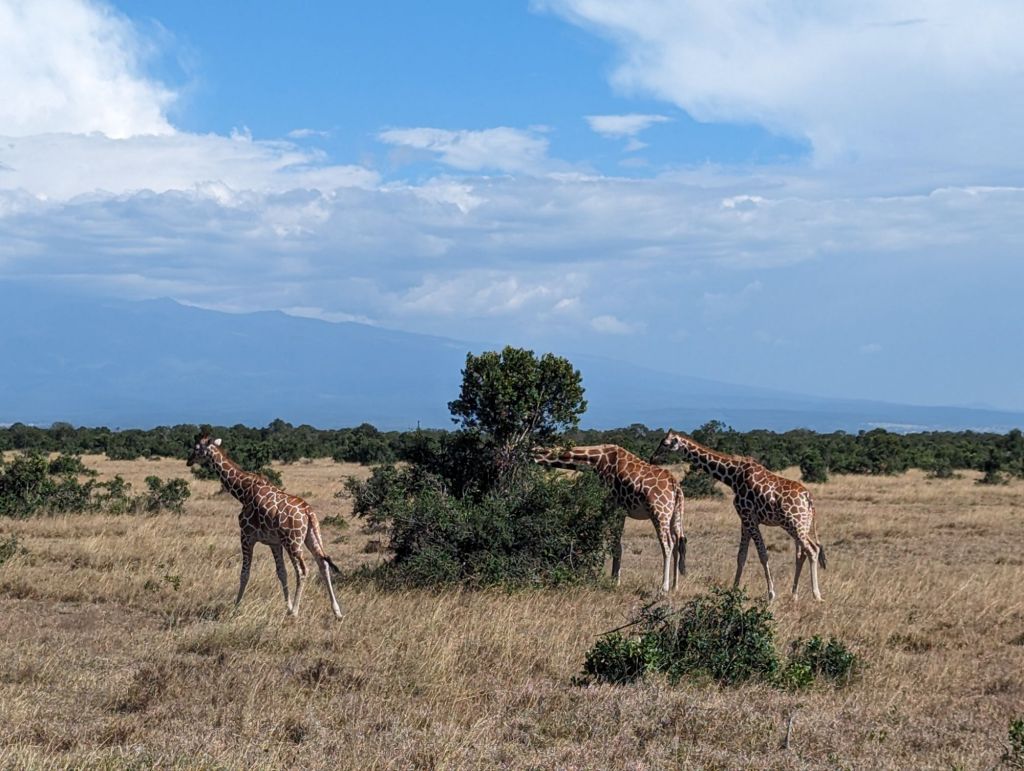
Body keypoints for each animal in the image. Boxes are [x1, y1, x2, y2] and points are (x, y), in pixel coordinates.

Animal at [186, 434, 343, 618]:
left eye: (196, 448)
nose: (188, 461)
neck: (243, 491)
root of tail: (308, 512)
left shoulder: (246, 536)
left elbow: (244, 573)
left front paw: (236, 607)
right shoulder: (274, 543)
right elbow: (281, 573)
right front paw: (287, 606)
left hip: (293, 542)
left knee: (303, 570)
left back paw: (295, 612)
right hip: (312, 536)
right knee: (323, 564)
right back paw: (337, 612)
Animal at [532, 444, 686, 592]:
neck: (595, 461)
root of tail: (676, 486)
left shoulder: (611, 505)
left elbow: (614, 546)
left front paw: (614, 582)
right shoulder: (621, 511)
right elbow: (618, 546)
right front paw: (614, 579)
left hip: (659, 512)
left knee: (668, 544)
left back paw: (664, 588)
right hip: (675, 514)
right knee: (677, 543)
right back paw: (675, 586)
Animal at [656, 431, 825, 601]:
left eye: (665, 443)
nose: (653, 457)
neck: (733, 476)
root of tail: (808, 498)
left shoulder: (749, 517)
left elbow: (763, 555)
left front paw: (771, 594)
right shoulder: (745, 519)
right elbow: (741, 556)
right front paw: (734, 589)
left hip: (794, 524)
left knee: (812, 550)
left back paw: (817, 595)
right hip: (802, 524)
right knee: (806, 552)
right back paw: (794, 594)